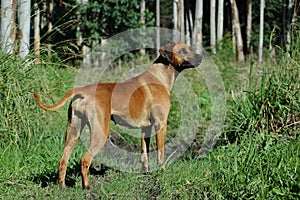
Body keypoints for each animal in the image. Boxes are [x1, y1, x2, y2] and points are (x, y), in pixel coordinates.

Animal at [33, 42, 202, 189]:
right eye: (183, 51)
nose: (200, 56)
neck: (159, 76)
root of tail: (82, 91)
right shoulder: (161, 124)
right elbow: (160, 153)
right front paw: (162, 171)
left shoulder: (146, 128)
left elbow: (144, 153)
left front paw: (146, 172)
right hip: (100, 132)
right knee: (85, 160)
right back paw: (86, 186)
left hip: (73, 131)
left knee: (63, 160)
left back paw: (61, 186)